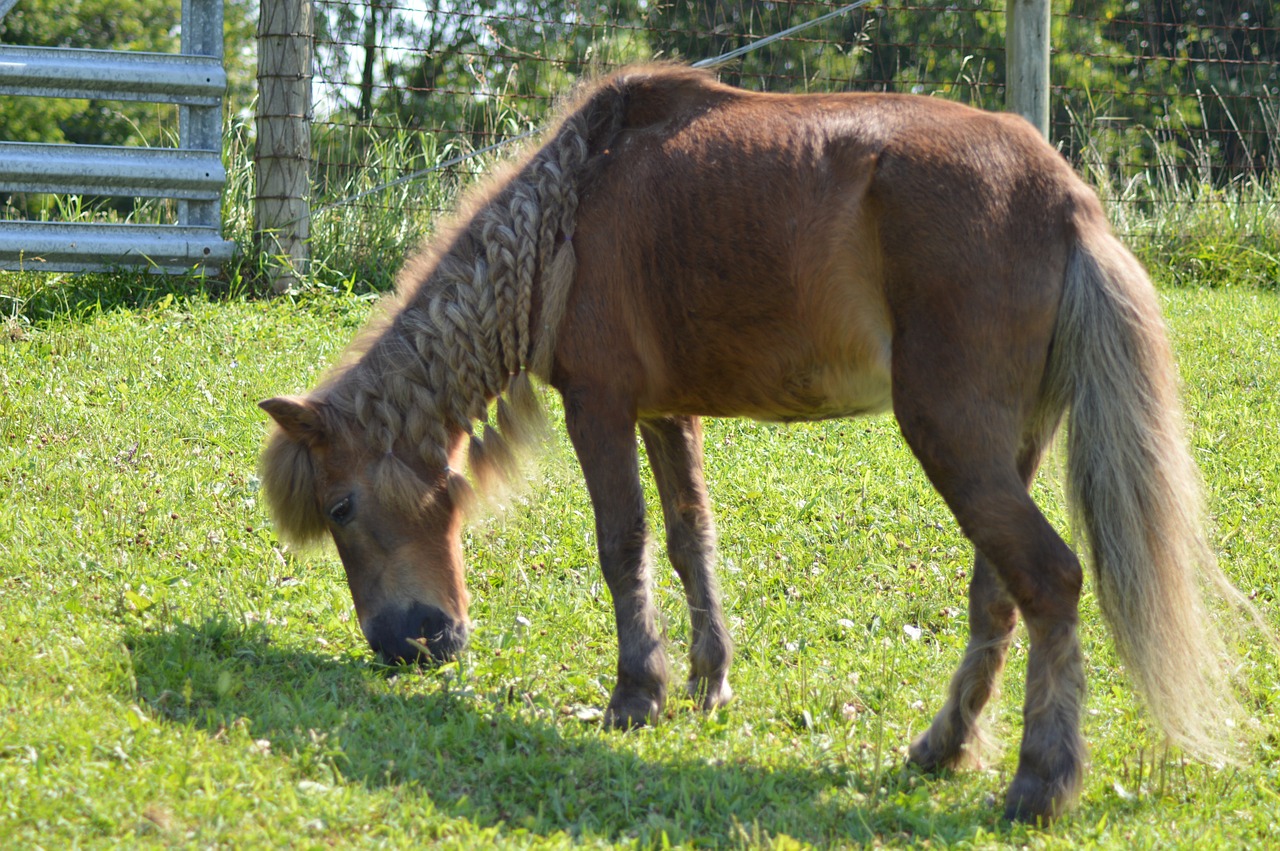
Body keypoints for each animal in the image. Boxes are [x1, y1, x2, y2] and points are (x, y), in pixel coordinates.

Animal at [257, 64, 1249, 824]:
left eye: (342, 506)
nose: (408, 646)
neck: (568, 213)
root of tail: (1065, 197)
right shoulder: (667, 414)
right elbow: (690, 539)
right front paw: (707, 680)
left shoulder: (601, 407)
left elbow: (623, 545)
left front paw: (637, 692)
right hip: (1009, 449)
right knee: (1000, 596)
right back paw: (943, 745)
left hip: (954, 439)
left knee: (1049, 579)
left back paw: (1039, 781)